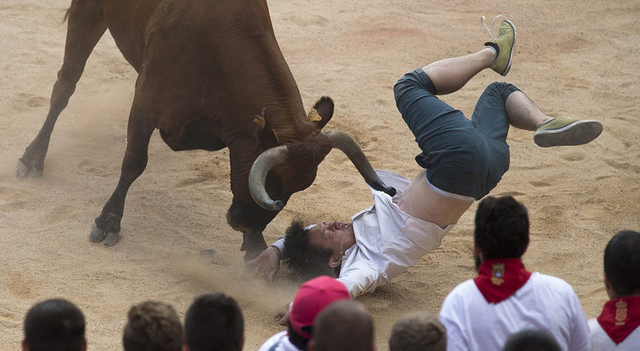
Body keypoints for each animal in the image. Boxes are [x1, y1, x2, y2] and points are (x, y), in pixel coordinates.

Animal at [16, 0, 396, 262]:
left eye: (299, 188)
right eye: (272, 182)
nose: (246, 225)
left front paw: (254, 246)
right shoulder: (146, 102)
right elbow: (134, 162)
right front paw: (108, 222)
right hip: (89, 10)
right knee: (65, 84)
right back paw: (32, 157)